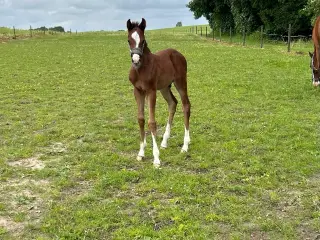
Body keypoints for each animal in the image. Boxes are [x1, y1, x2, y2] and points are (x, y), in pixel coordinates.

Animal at [126, 17, 191, 167]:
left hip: (180, 82)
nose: (135, 60)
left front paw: (156, 158)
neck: (141, 69)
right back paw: (165, 142)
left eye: (143, 40)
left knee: (186, 105)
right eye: (128, 40)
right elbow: (141, 119)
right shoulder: (138, 91)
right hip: (164, 87)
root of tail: (178, 53)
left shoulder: (151, 91)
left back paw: (185, 145)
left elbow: (152, 122)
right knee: (173, 103)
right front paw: (141, 153)